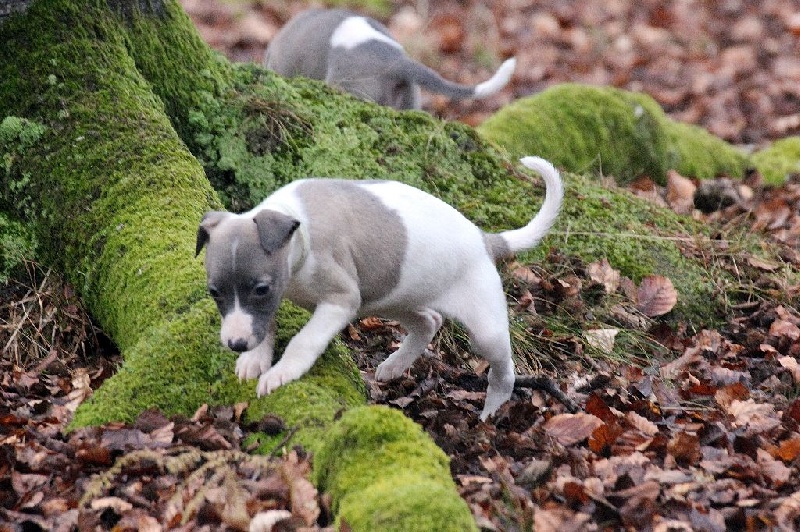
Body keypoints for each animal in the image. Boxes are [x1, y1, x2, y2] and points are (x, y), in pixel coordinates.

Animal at [196, 157, 563, 420]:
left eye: (260, 288)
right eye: (215, 292)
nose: (235, 344)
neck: (299, 227)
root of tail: (485, 239)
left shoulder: (341, 300)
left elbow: (304, 340)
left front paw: (281, 373)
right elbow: (265, 325)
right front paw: (254, 359)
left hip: (484, 329)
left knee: (504, 370)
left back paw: (490, 410)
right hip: (392, 300)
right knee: (429, 321)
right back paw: (395, 366)